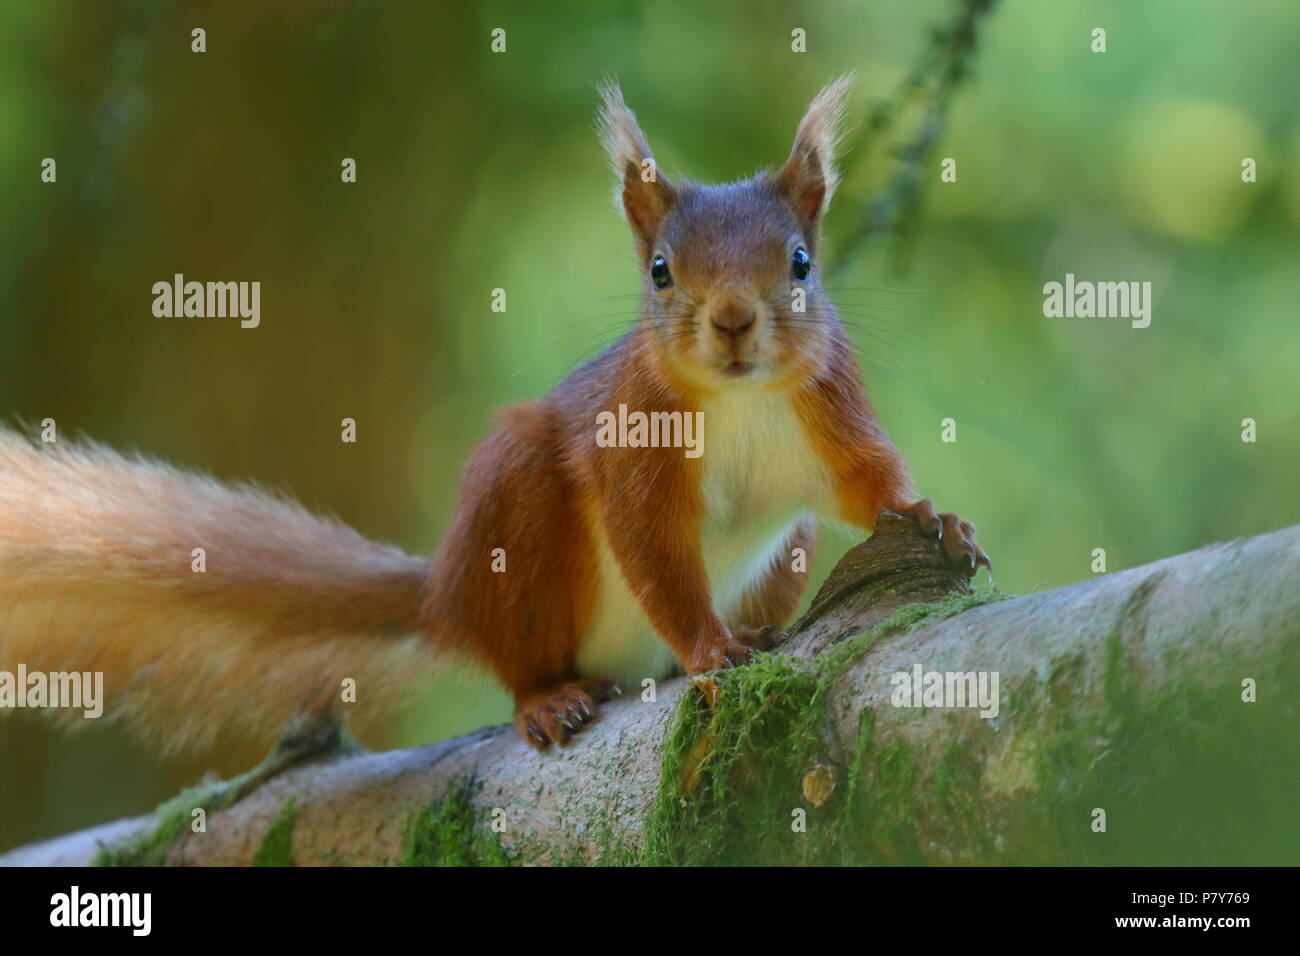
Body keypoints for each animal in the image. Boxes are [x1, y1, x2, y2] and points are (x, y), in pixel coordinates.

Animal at [0, 78, 982, 754]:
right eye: (661, 271)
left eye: (801, 262)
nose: (735, 320)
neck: (735, 400)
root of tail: (445, 597)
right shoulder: (633, 442)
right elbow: (652, 549)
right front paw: (708, 648)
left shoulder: (829, 404)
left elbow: (864, 482)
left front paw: (934, 517)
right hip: (516, 513)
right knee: (518, 659)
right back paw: (549, 697)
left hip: (785, 549)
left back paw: (750, 630)